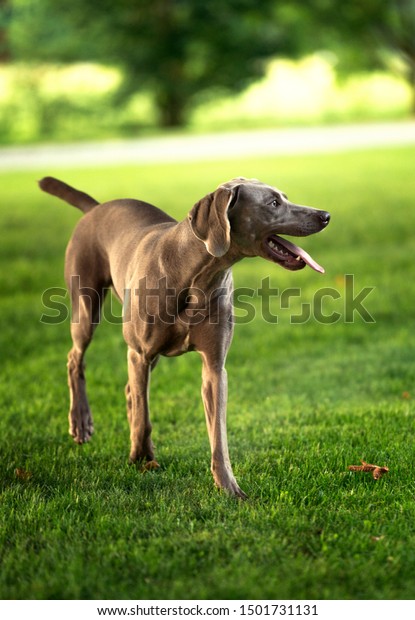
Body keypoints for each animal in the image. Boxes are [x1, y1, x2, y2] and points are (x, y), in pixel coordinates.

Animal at [39, 176, 332, 498]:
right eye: (273, 203)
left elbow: (218, 434)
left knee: (130, 390)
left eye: (284, 198)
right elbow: (143, 415)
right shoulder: (139, 352)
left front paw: (228, 486)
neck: (197, 275)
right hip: (86, 305)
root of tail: (96, 207)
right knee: (75, 359)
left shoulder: (214, 367)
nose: (325, 215)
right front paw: (140, 459)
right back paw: (81, 422)